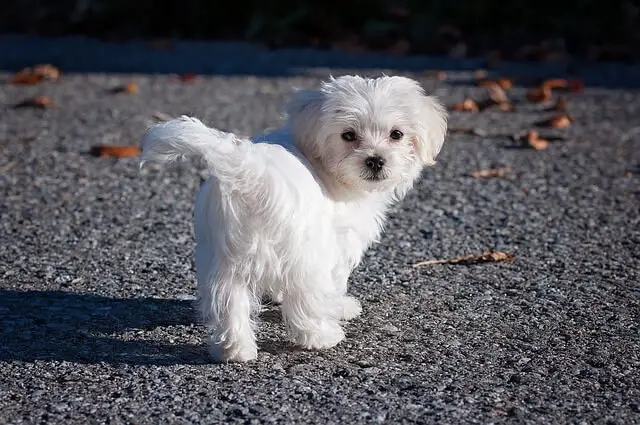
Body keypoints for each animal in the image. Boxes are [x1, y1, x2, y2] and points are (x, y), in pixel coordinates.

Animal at [139, 75, 444, 362]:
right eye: (348, 135)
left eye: (397, 134)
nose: (376, 160)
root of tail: (250, 174)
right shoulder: (337, 242)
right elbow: (335, 281)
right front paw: (341, 307)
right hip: (305, 253)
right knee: (305, 300)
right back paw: (322, 336)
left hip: (223, 258)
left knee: (228, 302)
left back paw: (234, 351)